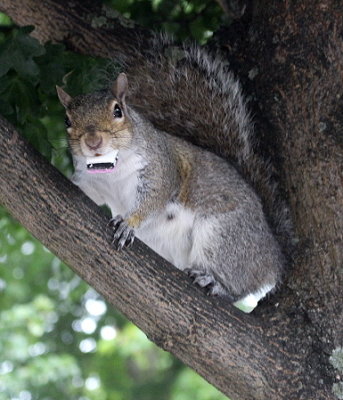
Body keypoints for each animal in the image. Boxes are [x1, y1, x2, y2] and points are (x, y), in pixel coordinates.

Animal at [55, 40, 290, 310]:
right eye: (67, 120)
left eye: (117, 111)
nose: (93, 141)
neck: (111, 171)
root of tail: (274, 255)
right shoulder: (93, 183)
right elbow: (87, 190)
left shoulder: (161, 170)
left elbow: (153, 200)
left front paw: (128, 224)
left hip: (224, 237)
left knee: (236, 285)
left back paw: (214, 283)